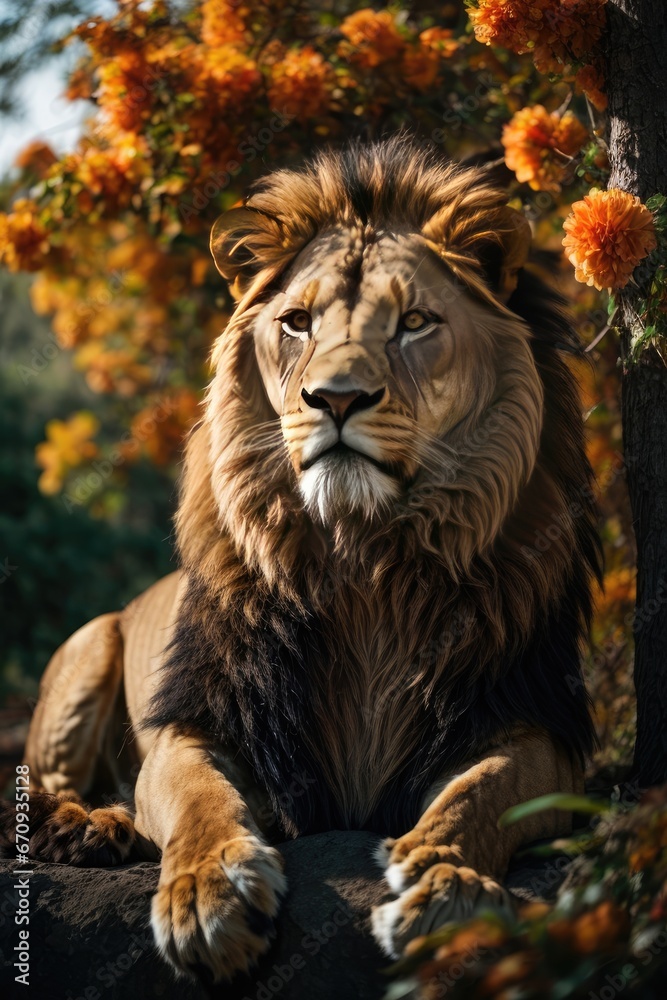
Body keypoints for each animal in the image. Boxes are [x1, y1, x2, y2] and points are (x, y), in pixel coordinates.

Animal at [5, 137, 600, 982]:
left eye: (414, 323)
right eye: (295, 324)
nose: (336, 398)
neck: (364, 563)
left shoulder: (527, 718)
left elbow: (480, 793)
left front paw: (444, 882)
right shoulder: (206, 719)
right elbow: (199, 798)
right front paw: (207, 893)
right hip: (90, 645)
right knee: (38, 790)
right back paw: (94, 827)